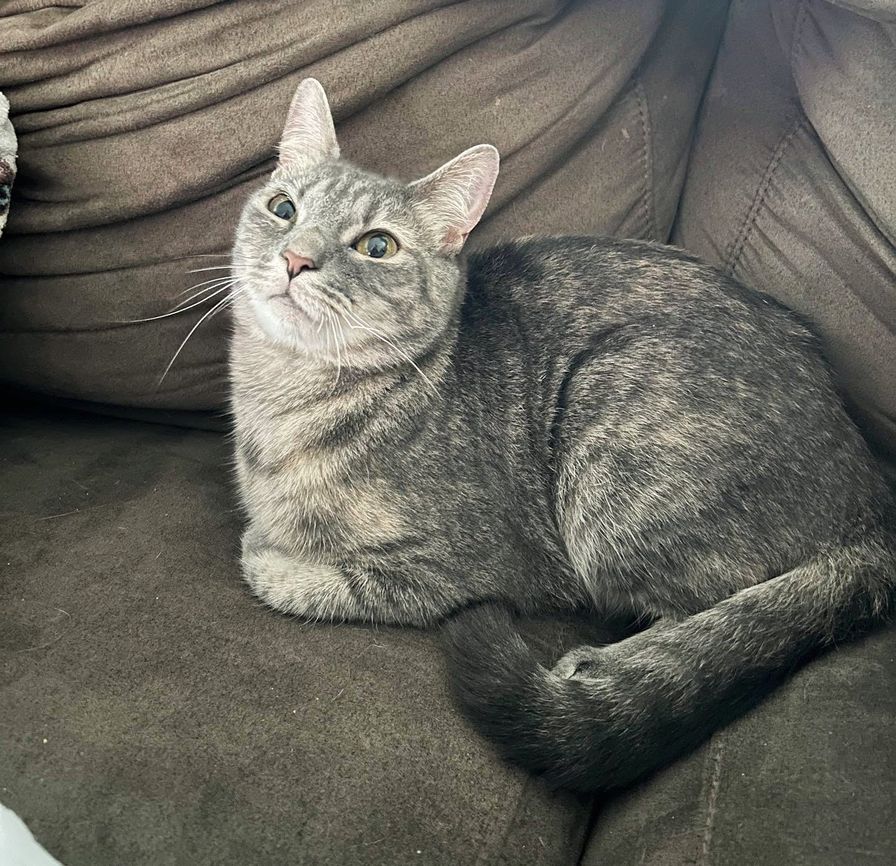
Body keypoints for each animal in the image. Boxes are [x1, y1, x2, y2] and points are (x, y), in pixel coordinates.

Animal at [231, 79, 896, 788]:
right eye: (282, 208)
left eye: (376, 246)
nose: (295, 258)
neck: (280, 401)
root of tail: (871, 501)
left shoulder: (464, 569)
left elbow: (311, 577)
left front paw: (271, 555)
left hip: (612, 429)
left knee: (711, 608)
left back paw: (604, 667)